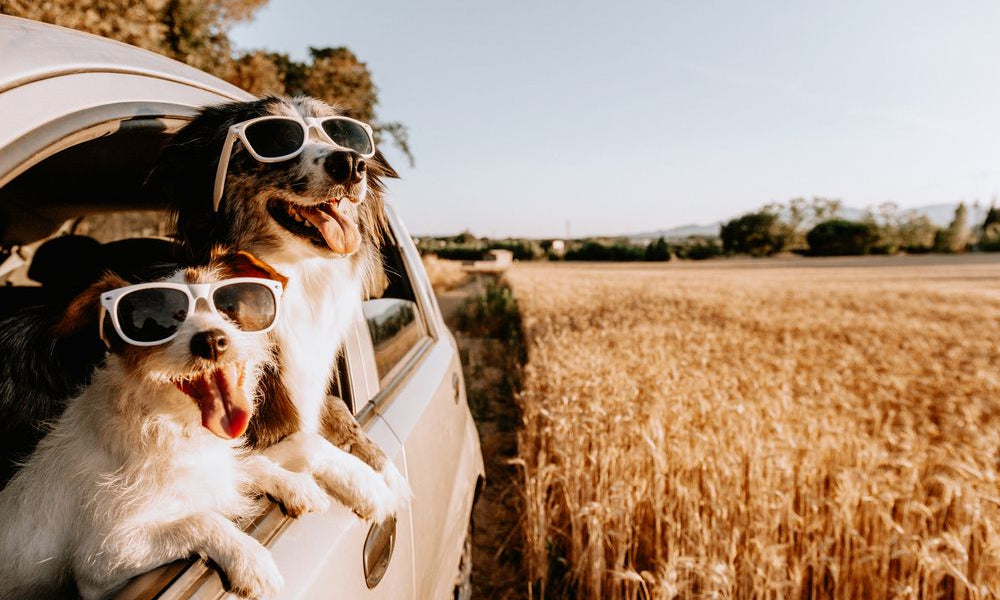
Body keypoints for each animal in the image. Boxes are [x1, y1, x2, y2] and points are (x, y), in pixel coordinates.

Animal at [0, 252, 324, 600]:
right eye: (157, 323)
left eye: (228, 306)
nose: (211, 341)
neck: (170, 423)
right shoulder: (99, 561)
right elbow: (199, 519)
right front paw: (248, 558)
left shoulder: (212, 469)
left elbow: (250, 465)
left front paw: (295, 484)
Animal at [151, 97, 406, 520]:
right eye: (276, 138)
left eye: (343, 134)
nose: (351, 162)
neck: (293, 277)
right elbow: (301, 439)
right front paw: (367, 484)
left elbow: (336, 408)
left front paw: (386, 469)